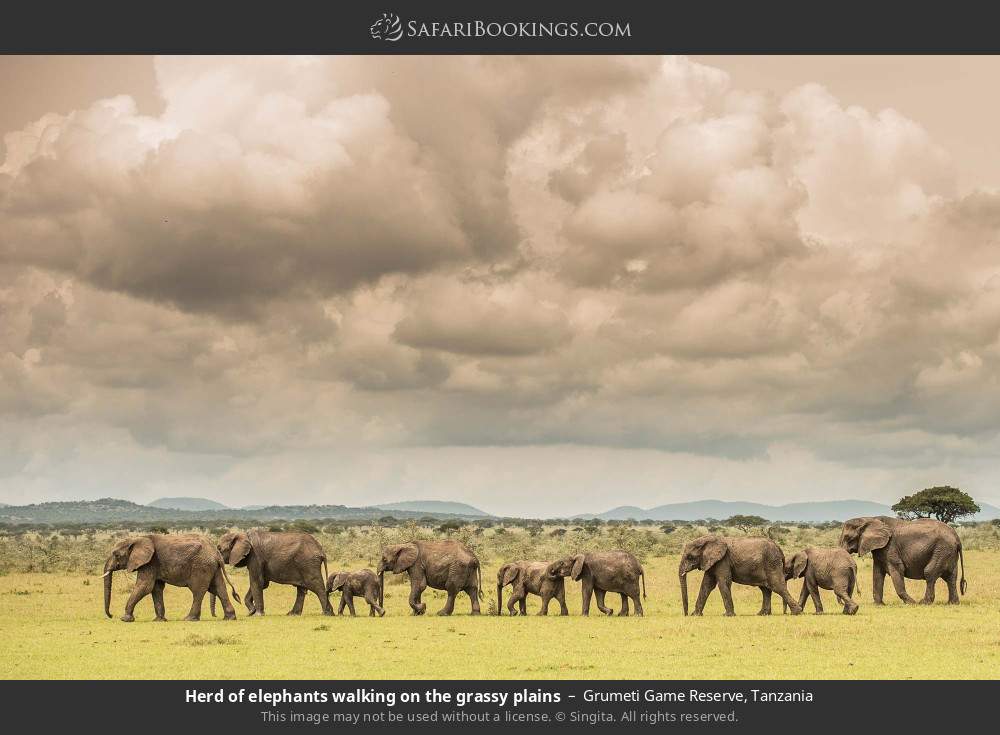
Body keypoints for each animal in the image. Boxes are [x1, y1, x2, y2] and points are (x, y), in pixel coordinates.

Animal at [102, 534, 240, 622]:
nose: (111, 615)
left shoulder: (149, 562)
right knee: (219, 588)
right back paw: (229, 618)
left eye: (116, 555)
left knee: (198, 591)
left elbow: (145, 587)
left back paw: (189, 619)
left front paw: (125, 619)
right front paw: (159, 620)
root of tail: (216, 553)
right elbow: (156, 588)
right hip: (212, 567)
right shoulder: (153, 564)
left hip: (201, 566)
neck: (137, 539)